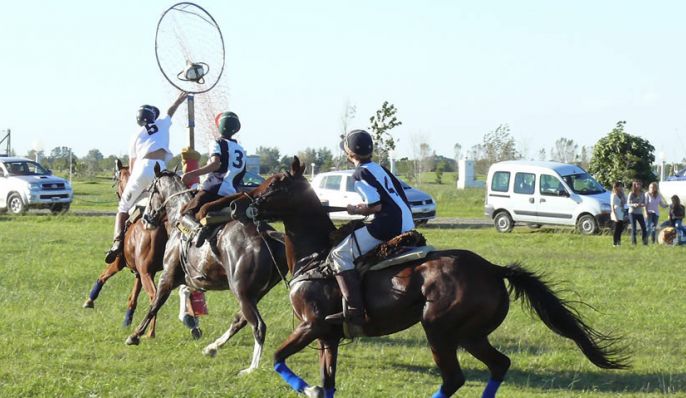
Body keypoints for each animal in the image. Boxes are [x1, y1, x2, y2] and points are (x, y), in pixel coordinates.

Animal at [83, 159, 200, 338]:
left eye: (116, 178)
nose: (118, 194)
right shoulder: (140, 272)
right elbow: (133, 298)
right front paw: (127, 320)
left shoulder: (122, 263)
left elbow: (103, 276)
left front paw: (89, 300)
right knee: (178, 292)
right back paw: (192, 324)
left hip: (149, 273)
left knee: (154, 296)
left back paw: (150, 332)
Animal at [127, 163, 290, 374]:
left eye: (151, 190)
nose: (146, 218)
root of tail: (267, 234)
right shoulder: (193, 278)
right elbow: (185, 293)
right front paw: (189, 320)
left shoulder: (167, 278)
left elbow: (154, 305)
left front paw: (135, 335)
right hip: (255, 293)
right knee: (240, 320)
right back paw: (213, 347)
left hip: (241, 291)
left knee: (258, 326)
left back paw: (251, 368)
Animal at [241, 158, 628, 398]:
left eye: (276, 183)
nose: (241, 203)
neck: (315, 257)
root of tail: (493, 268)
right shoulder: (328, 337)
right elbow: (328, 383)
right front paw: (317, 387)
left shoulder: (312, 326)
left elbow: (278, 357)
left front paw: (307, 387)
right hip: (470, 335)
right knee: (499, 365)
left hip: (439, 329)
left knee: (454, 378)